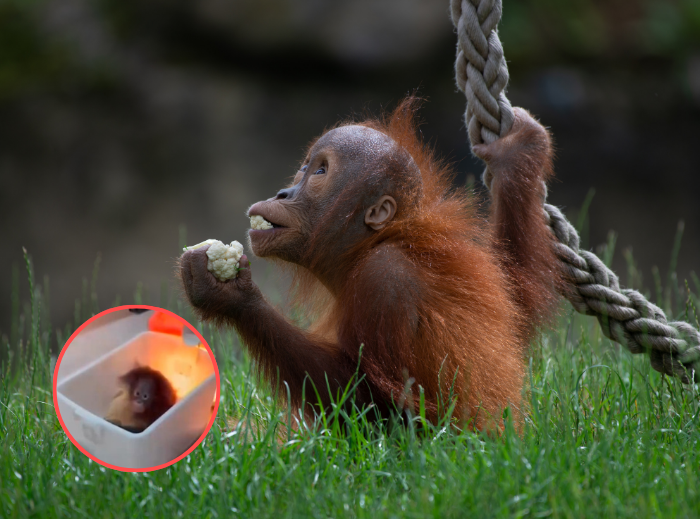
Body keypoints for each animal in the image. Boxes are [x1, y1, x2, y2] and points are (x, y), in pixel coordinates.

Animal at [179, 98, 561, 431]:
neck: (373, 244)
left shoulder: (385, 280)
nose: (283, 193)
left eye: (320, 171)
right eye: (304, 168)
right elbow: (514, 300)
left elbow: (389, 406)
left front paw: (231, 297)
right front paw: (517, 153)